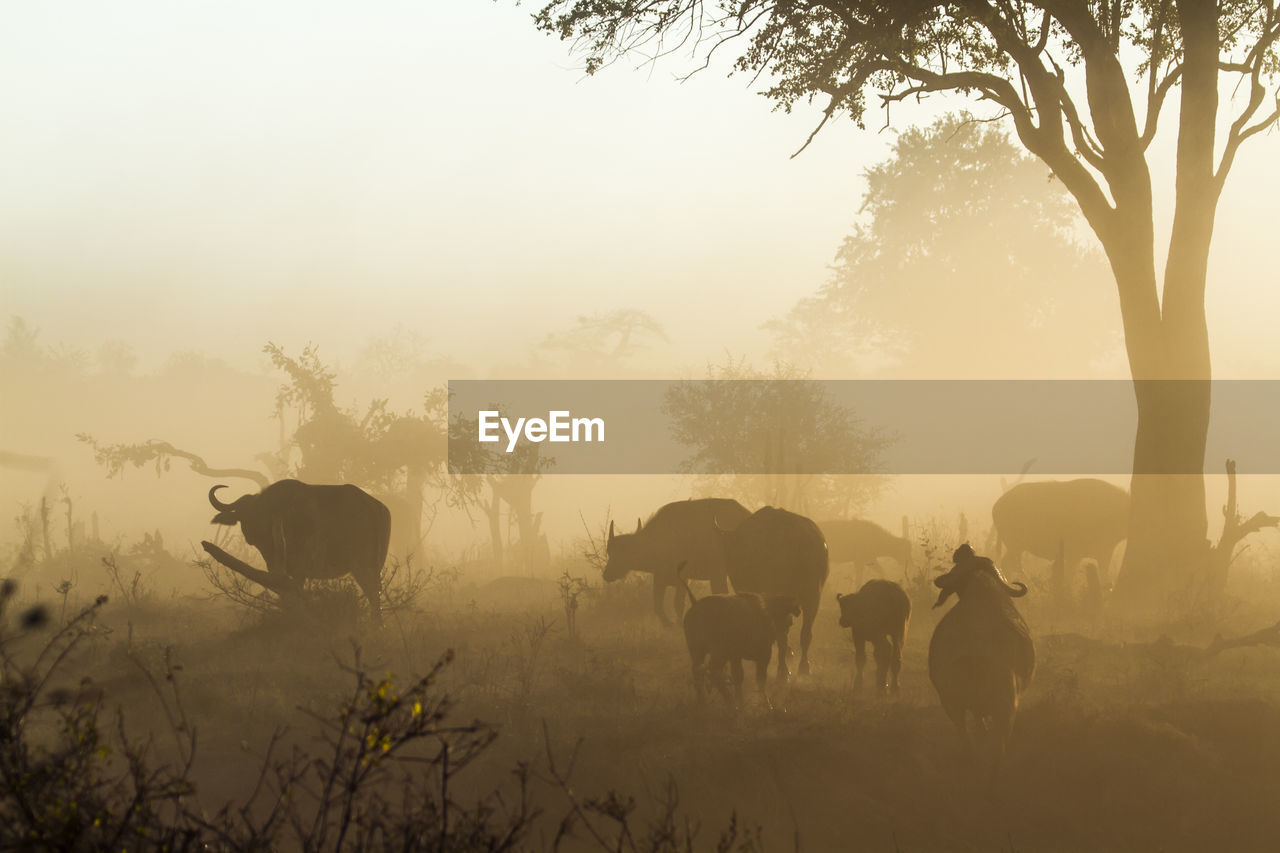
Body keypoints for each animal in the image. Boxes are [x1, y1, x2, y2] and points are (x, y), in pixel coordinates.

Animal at [204, 481, 389, 614]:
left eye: (262, 512)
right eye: (242, 514)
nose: (251, 534)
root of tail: (375, 507)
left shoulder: (298, 569)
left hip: (362, 564)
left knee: (373, 593)